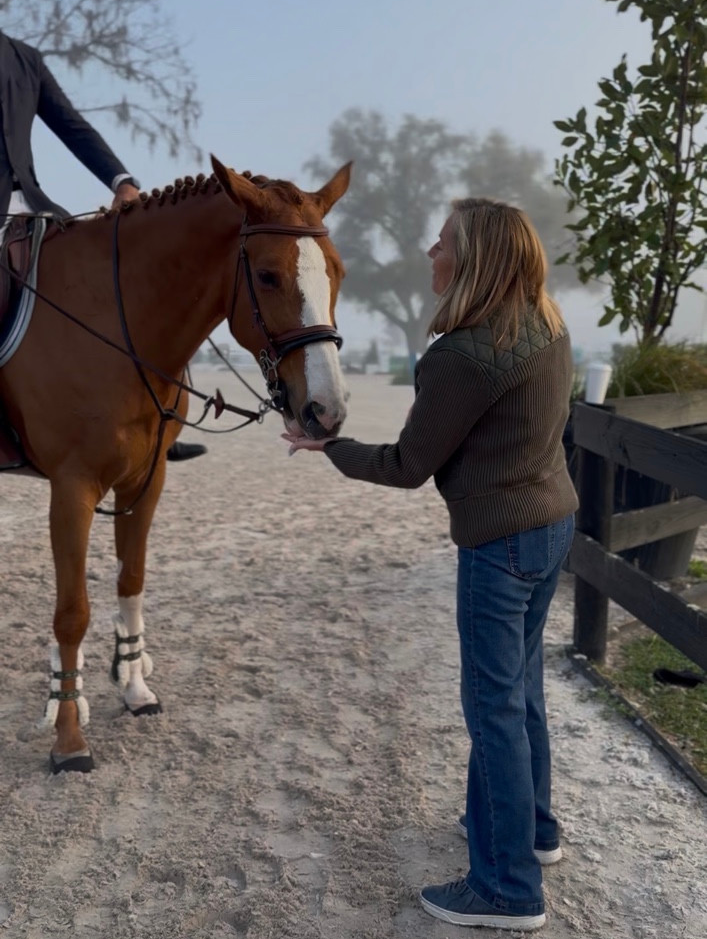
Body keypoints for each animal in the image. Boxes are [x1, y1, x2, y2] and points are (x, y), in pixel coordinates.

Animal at [0, 155, 352, 773]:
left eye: (338, 273)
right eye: (267, 276)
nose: (325, 411)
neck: (110, 319)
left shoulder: (146, 479)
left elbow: (131, 580)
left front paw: (134, 686)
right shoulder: (71, 488)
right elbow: (72, 611)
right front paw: (68, 737)